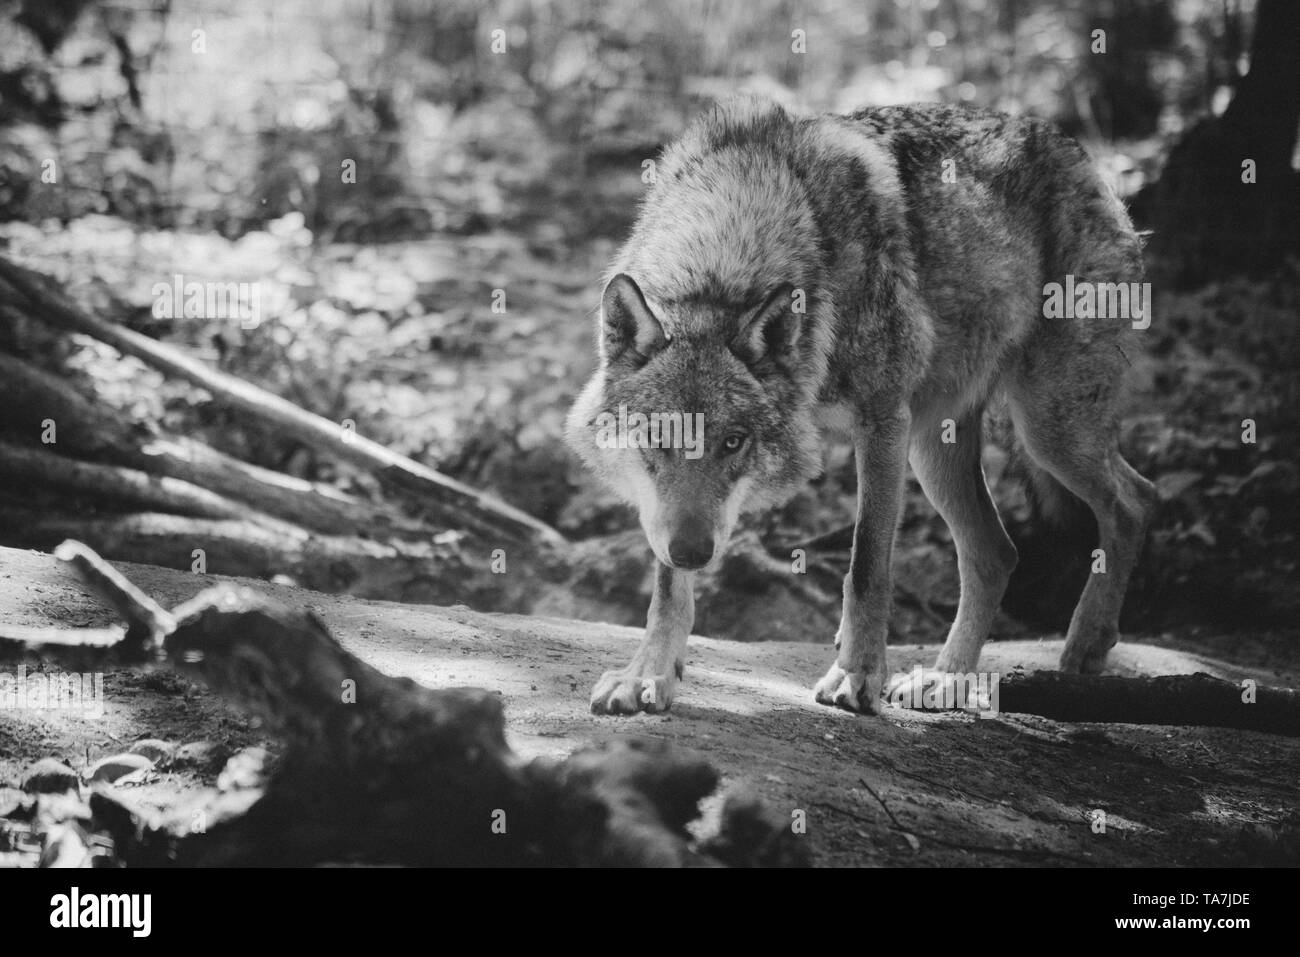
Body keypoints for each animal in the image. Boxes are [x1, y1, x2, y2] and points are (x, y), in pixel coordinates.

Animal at [566, 96, 1157, 716]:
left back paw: (1085, 644)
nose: (693, 552)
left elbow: (866, 566)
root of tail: (1084, 158)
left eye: (734, 442)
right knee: (998, 552)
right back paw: (944, 679)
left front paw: (856, 675)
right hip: (936, 447)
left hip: (1045, 428)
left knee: (1136, 500)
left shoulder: (882, 418)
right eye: (656, 438)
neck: (721, 270)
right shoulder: (664, 509)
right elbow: (664, 592)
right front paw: (647, 676)